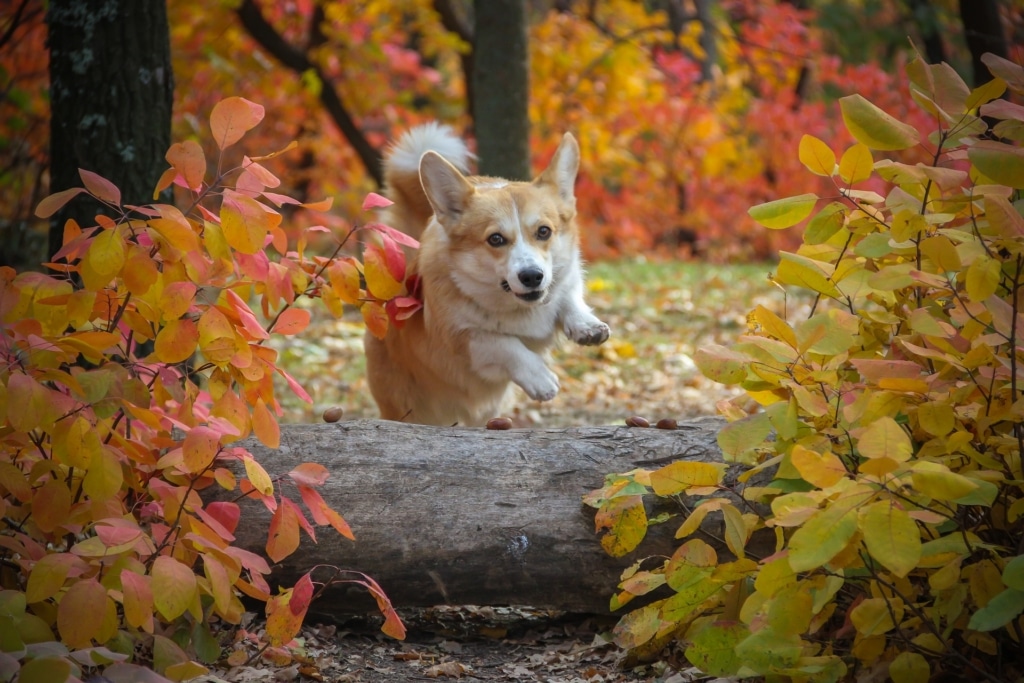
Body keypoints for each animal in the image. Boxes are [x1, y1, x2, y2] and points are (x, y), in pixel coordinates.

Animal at [366, 120, 610, 423]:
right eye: (495, 239)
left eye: (544, 231)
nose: (532, 276)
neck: (519, 309)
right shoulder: (463, 339)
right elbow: (504, 344)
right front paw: (540, 378)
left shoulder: (567, 280)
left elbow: (568, 298)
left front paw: (587, 325)